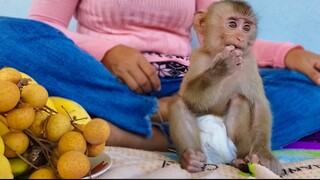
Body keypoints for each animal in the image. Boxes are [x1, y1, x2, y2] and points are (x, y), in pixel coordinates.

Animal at [169, 0, 282, 176]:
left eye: (247, 28)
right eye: (232, 24)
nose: (241, 37)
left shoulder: (250, 62)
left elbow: (259, 104)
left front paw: (264, 155)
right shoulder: (198, 58)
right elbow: (188, 97)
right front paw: (221, 68)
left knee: (239, 100)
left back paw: (241, 160)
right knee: (178, 104)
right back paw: (190, 159)